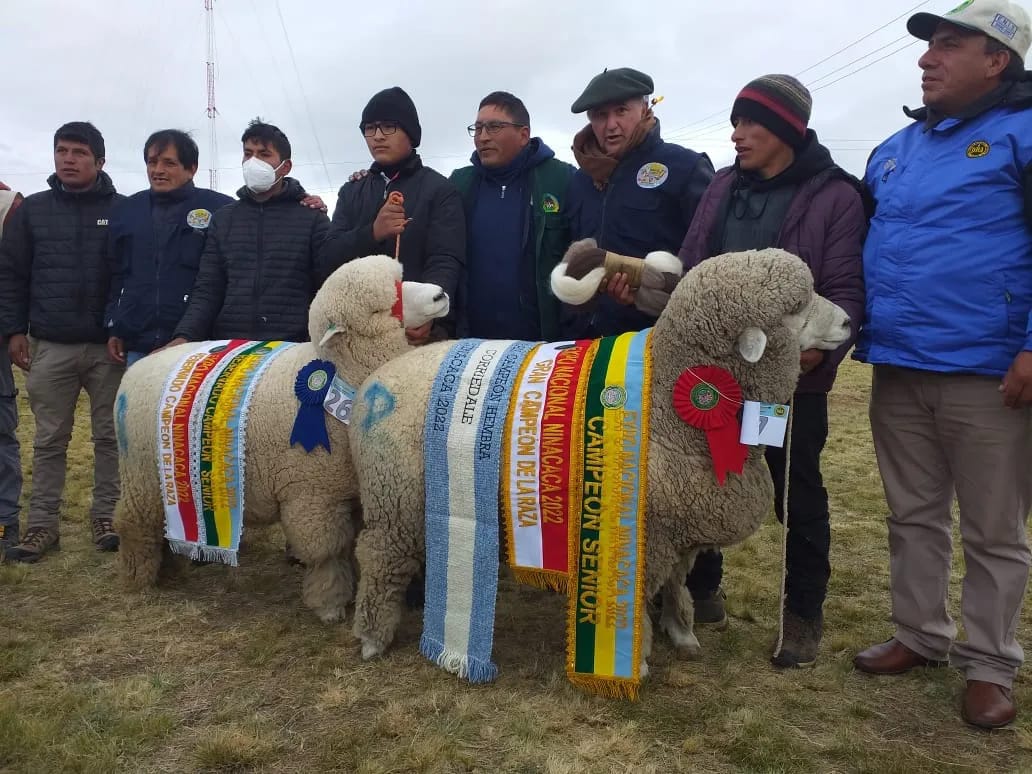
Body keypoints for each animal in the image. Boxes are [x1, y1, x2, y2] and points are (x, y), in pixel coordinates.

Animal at [115, 254, 449, 623]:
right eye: (379, 310)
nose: (439, 295)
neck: (341, 375)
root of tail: (138, 367)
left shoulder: (350, 490)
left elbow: (348, 548)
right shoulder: (312, 492)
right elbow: (327, 552)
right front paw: (330, 604)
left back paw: (169, 570)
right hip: (140, 475)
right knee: (132, 522)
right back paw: (138, 580)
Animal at [347, 248, 851, 682]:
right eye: (796, 307)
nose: (850, 321)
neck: (669, 398)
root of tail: (383, 375)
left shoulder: (680, 526)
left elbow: (678, 584)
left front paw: (682, 632)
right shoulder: (645, 531)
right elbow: (641, 595)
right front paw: (637, 660)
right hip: (392, 499)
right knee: (378, 558)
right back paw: (371, 637)